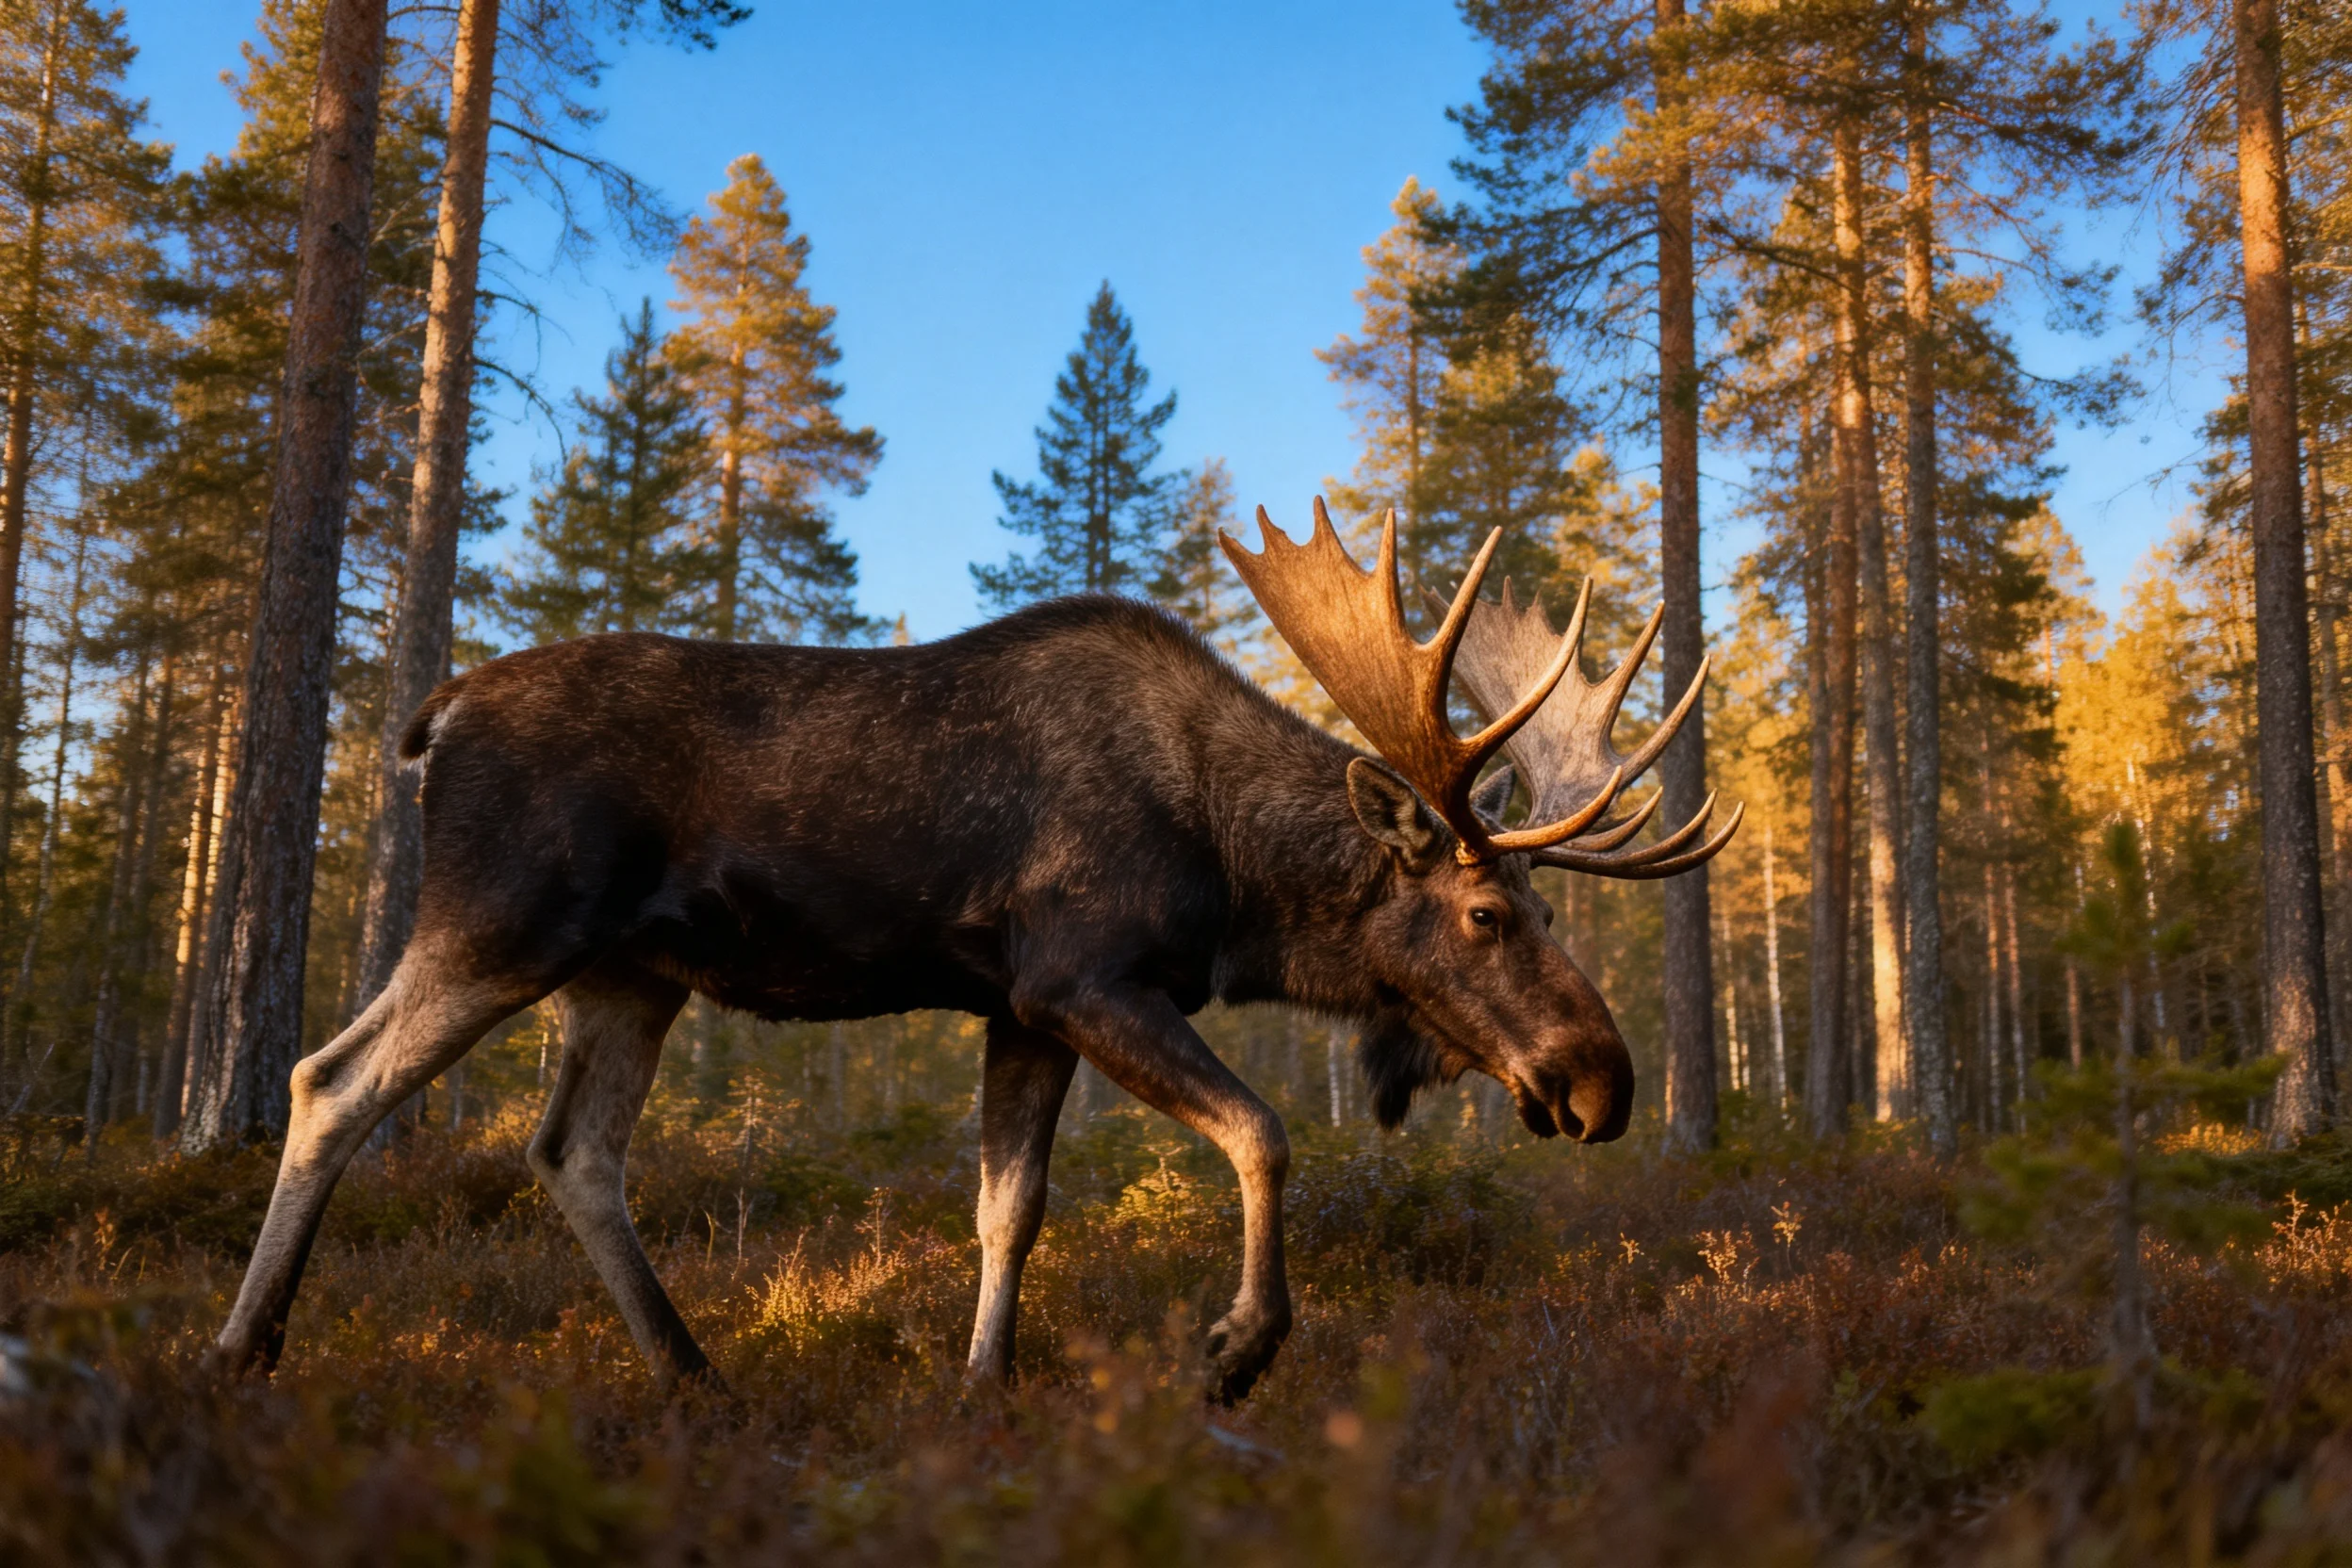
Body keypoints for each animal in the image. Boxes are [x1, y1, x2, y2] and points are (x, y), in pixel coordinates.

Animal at [209, 498, 1736, 1403]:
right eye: (1486, 915)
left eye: (1543, 913)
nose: (1603, 1082)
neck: (1237, 870)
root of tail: (437, 715)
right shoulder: (1084, 976)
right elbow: (1262, 1131)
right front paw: (1237, 1346)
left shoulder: (1022, 1011)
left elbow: (1013, 1206)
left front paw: (982, 1385)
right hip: (500, 922)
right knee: (330, 1080)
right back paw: (243, 1344)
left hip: (630, 975)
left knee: (572, 1150)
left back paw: (696, 1373)